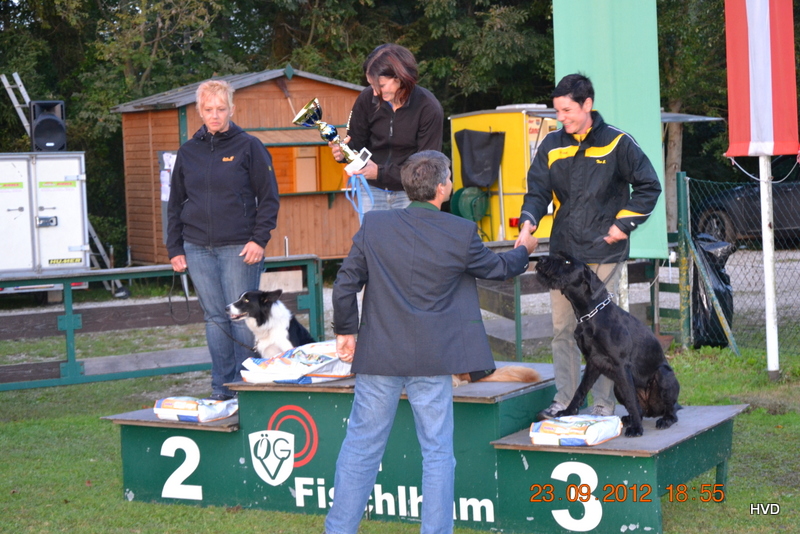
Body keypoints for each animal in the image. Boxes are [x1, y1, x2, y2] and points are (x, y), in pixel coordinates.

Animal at [535, 254, 680, 437]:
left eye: (568, 261)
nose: (540, 260)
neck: (590, 316)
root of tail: (651, 411)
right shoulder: (593, 362)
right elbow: (580, 390)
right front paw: (567, 412)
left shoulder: (621, 365)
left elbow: (631, 399)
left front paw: (637, 428)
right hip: (618, 387)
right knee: (639, 408)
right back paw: (629, 418)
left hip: (663, 374)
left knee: (670, 410)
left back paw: (664, 420)